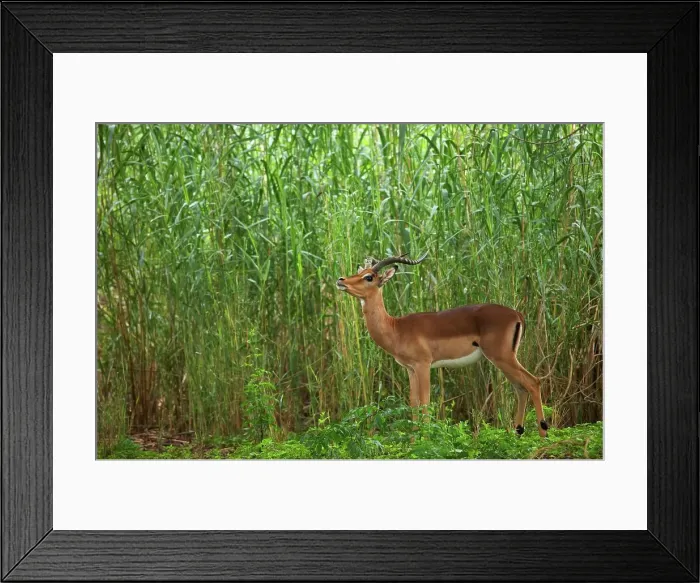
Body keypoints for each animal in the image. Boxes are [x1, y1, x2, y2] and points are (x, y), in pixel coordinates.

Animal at [336, 252, 548, 437]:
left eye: (369, 277)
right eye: (360, 271)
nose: (341, 280)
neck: (396, 328)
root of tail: (517, 314)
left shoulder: (423, 365)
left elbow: (425, 403)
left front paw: (426, 441)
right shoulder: (410, 369)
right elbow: (413, 404)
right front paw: (414, 442)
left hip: (503, 358)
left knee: (533, 382)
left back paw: (543, 434)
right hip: (503, 360)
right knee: (521, 388)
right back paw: (518, 433)